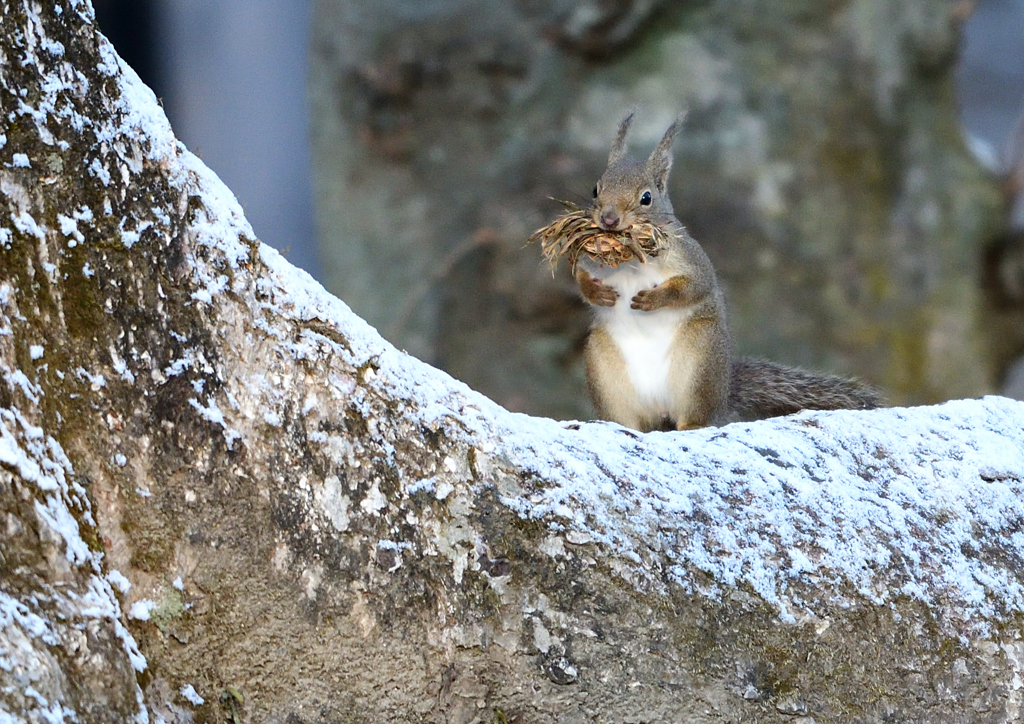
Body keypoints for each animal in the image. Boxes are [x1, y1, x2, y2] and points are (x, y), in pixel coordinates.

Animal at [577, 112, 880, 430]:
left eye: (646, 198)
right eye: (596, 189)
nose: (609, 219)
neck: (630, 258)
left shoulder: (692, 259)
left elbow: (694, 286)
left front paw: (652, 299)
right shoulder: (590, 260)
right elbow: (581, 279)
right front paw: (597, 292)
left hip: (699, 363)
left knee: (696, 416)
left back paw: (692, 423)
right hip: (605, 372)